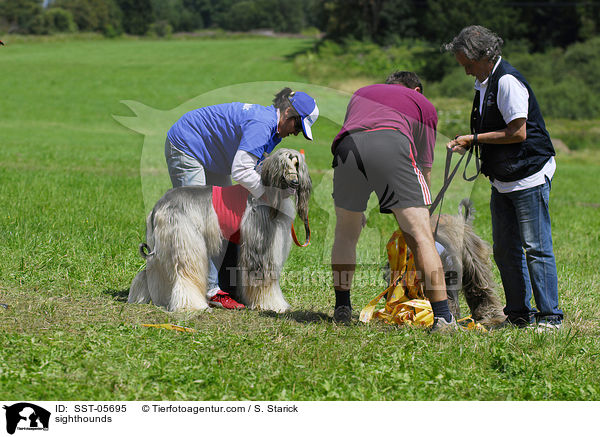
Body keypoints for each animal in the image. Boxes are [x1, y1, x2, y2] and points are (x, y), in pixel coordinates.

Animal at [129, 148, 312, 312]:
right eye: (283, 165)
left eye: (296, 164)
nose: (295, 183)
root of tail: (160, 204)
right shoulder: (259, 245)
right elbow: (264, 278)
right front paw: (272, 304)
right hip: (186, 241)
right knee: (186, 274)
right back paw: (191, 305)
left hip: (162, 246)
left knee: (150, 272)